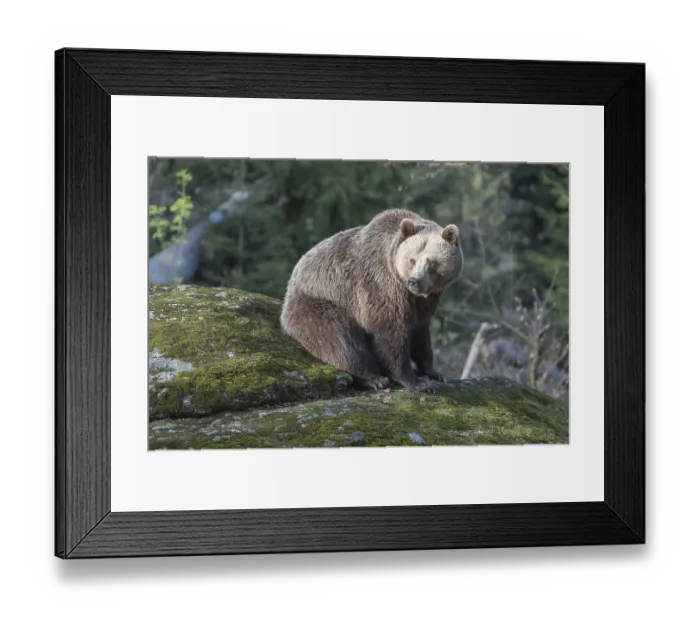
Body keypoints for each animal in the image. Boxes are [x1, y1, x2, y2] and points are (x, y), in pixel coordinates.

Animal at [280, 209, 463, 393]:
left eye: (432, 262)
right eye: (412, 260)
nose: (414, 281)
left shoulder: (424, 302)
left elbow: (420, 334)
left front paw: (434, 373)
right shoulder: (380, 286)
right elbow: (390, 332)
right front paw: (416, 381)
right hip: (318, 303)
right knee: (340, 340)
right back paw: (373, 379)